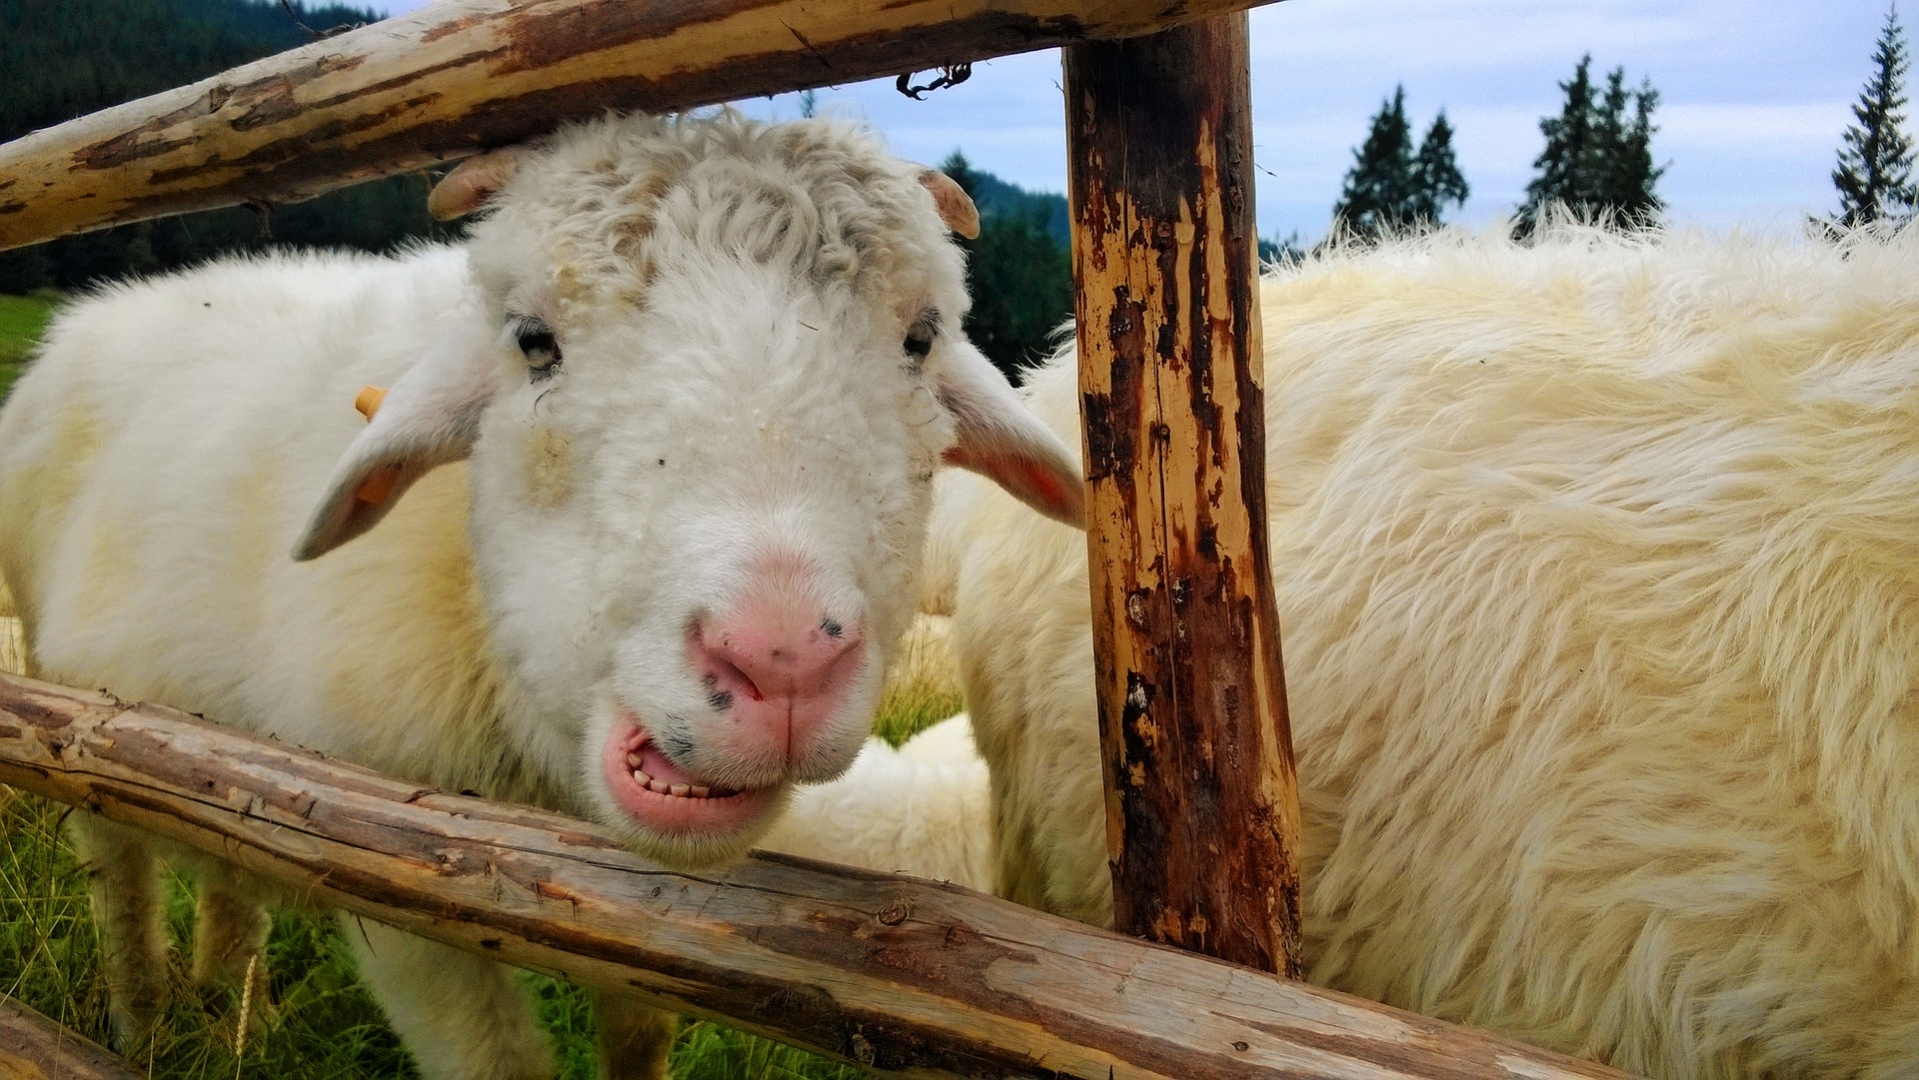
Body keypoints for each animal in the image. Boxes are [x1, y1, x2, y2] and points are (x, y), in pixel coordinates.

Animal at [0, 112, 1082, 1080]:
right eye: (531, 341)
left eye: (919, 339)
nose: (779, 661)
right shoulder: (385, 857)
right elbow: (495, 1057)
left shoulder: (632, 909)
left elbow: (640, 1033)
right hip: (81, 719)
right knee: (120, 882)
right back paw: (144, 1023)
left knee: (228, 876)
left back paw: (232, 1008)